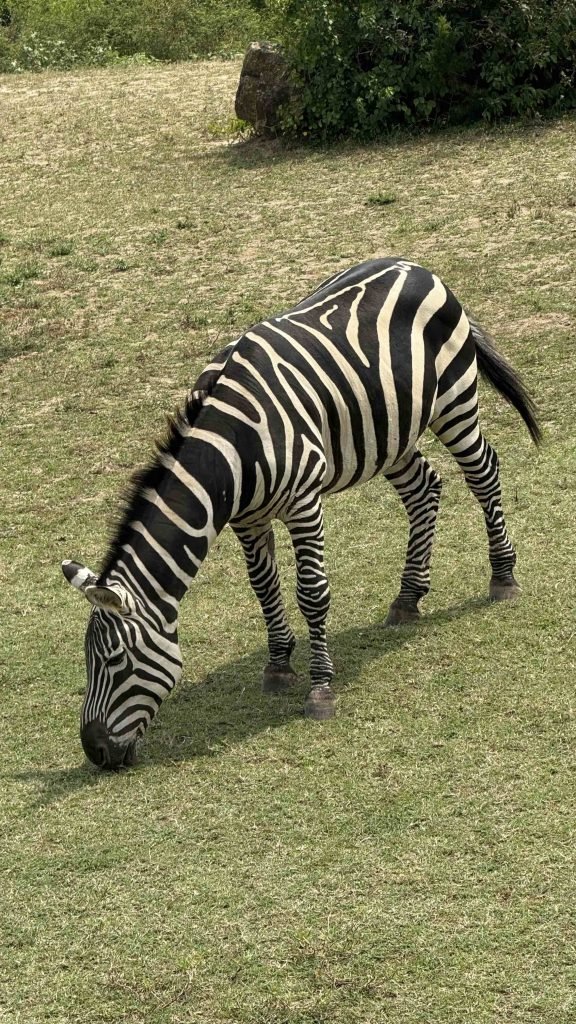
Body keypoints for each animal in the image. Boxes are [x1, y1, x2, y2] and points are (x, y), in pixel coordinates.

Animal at [62, 257, 540, 769]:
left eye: (116, 661)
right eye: (88, 662)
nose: (94, 751)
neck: (231, 450)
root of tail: (415, 265)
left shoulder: (304, 503)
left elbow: (312, 593)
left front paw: (320, 690)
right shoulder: (248, 520)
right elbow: (264, 589)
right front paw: (277, 665)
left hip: (454, 399)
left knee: (484, 472)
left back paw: (503, 576)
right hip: (390, 432)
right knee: (423, 489)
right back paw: (408, 598)